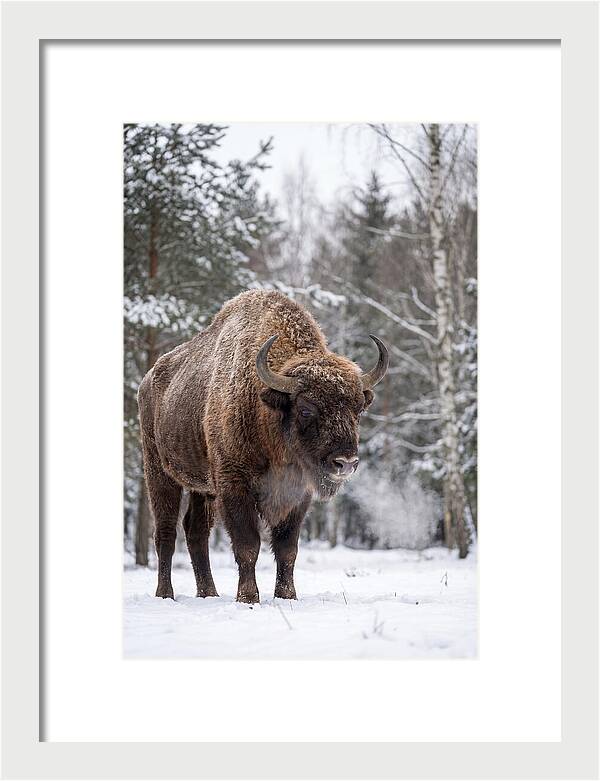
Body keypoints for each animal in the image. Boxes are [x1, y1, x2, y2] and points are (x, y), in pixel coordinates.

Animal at [138, 289, 388, 603]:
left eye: (358, 409)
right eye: (306, 408)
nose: (345, 463)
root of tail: (148, 381)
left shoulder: (297, 495)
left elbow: (287, 549)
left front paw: (287, 596)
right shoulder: (234, 486)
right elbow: (248, 545)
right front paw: (248, 598)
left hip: (202, 488)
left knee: (195, 532)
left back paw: (209, 594)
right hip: (159, 472)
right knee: (166, 533)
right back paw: (165, 594)